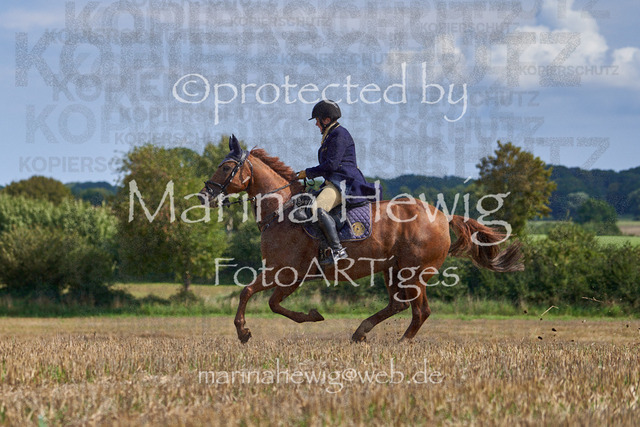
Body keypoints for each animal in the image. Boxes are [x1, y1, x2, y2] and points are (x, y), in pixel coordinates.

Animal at [200, 136, 523, 343]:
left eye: (226, 167)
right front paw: (313, 315)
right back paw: (361, 332)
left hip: (414, 273)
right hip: (393, 270)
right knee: (399, 305)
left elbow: (250, 294)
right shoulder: (291, 276)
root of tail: (443, 216)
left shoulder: (284, 272)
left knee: (420, 311)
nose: (205, 195)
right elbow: (272, 303)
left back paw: (401, 344)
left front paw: (243, 332)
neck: (281, 210)